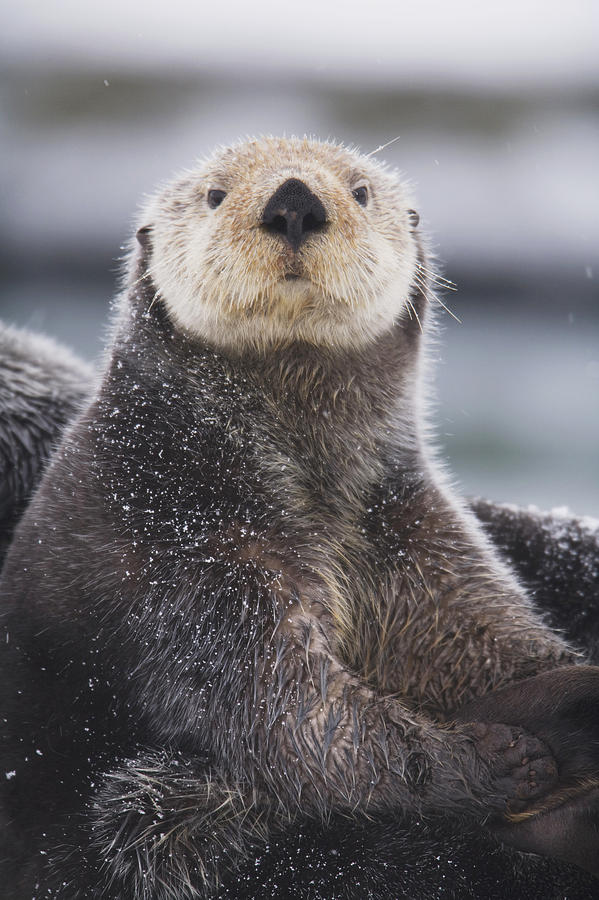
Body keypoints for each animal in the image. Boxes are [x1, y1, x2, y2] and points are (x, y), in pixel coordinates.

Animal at [1, 137, 599, 896]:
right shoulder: (192, 559)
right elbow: (294, 720)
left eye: (361, 190)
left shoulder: (415, 542)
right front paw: (490, 759)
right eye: (216, 195)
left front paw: (559, 692)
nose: (294, 202)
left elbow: (493, 642)